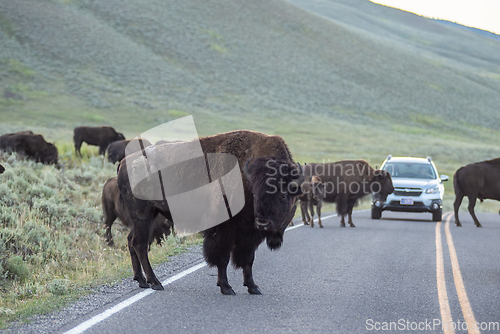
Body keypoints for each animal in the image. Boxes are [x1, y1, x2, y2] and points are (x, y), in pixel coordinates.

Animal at [118, 130, 304, 294]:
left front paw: (253, 287)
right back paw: (155, 282)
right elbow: (223, 257)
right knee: (140, 244)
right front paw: (226, 287)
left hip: (149, 215)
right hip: (143, 215)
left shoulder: (250, 234)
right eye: (255, 194)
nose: (263, 223)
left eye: (284, 195)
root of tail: (124, 163)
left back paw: (142, 281)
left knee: (131, 240)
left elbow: (248, 259)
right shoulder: (224, 229)